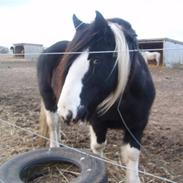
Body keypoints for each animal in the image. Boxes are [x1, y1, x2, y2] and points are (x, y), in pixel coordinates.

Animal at [37, 11, 156, 183]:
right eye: (68, 61)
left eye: (97, 60)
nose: (67, 110)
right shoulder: (97, 123)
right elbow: (98, 150)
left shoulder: (137, 125)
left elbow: (132, 155)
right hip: (49, 100)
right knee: (53, 124)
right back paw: (55, 147)